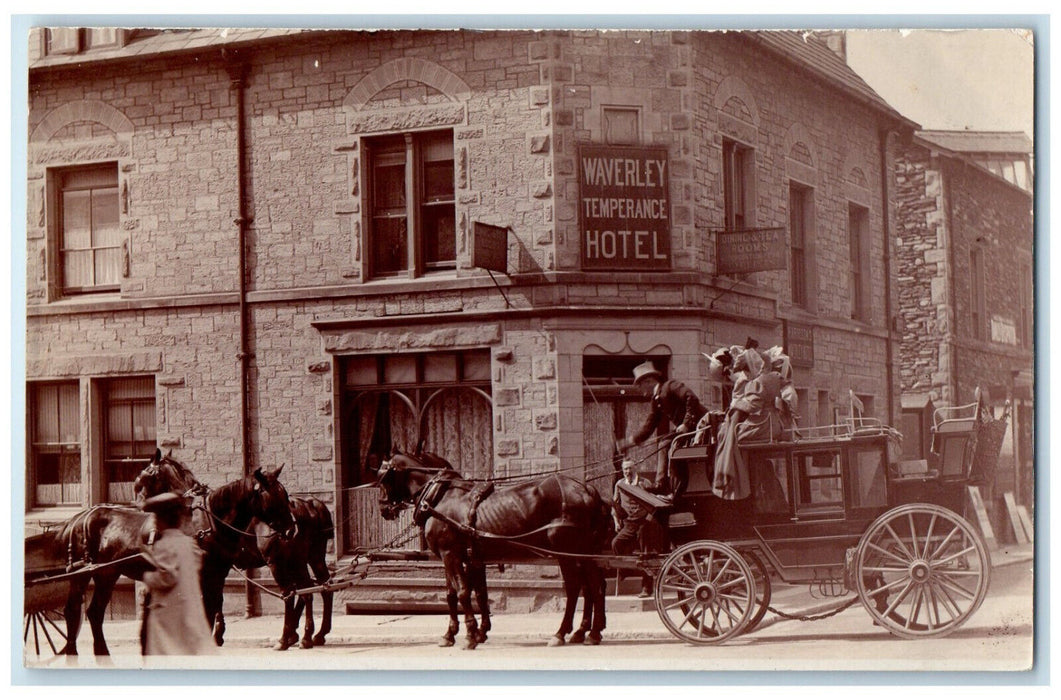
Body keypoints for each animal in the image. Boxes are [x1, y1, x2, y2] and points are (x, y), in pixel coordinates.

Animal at [40, 460, 294, 657]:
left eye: (284, 494)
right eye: (273, 496)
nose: (292, 529)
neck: (209, 523)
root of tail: (77, 517)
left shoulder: (216, 575)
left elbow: (211, 607)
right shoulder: (201, 576)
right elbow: (205, 609)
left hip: (107, 573)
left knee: (93, 612)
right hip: (85, 574)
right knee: (74, 611)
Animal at [136, 451, 333, 649]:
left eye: (144, 475)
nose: (140, 499)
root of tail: (310, 503)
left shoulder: (206, 570)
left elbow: (209, 600)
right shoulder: (218, 569)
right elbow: (217, 599)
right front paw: (217, 633)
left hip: (281, 562)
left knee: (293, 593)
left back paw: (290, 637)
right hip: (310, 558)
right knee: (320, 587)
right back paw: (313, 634)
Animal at [377, 451, 611, 649]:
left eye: (383, 477)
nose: (382, 507)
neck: (439, 497)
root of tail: (587, 490)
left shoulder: (450, 555)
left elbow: (463, 592)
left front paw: (470, 635)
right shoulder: (468, 558)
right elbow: (467, 593)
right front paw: (458, 634)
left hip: (566, 550)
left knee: (575, 588)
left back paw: (562, 633)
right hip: (584, 552)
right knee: (594, 586)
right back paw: (589, 632)